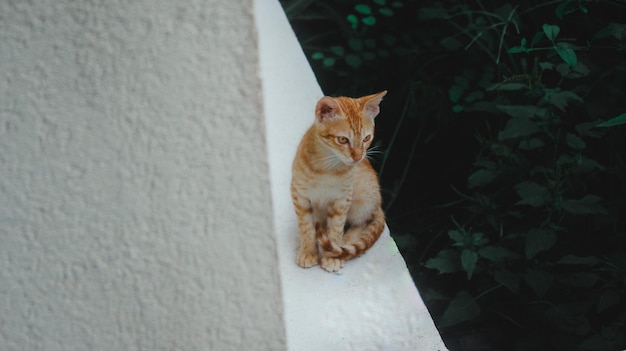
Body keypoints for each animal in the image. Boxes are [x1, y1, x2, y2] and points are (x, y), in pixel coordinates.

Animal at [288, 90, 386, 272]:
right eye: (343, 140)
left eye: (366, 138)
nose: (358, 157)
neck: (327, 167)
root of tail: (378, 205)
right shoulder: (299, 194)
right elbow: (306, 226)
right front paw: (308, 251)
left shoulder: (342, 199)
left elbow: (336, 227)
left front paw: (331, 256)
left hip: (362, 196)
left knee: (362, 222)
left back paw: (345, 242)